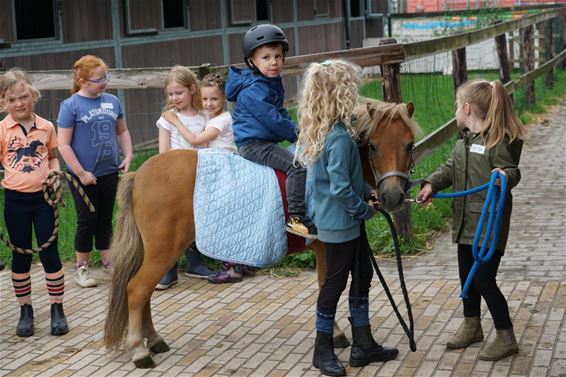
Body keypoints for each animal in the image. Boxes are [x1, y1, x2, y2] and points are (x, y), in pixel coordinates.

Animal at [103, 98, 422, 366]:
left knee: (142, 293)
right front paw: (336, 335)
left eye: (409, 145)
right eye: (374, 146)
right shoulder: (326, 247)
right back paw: (140, 349)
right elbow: (326, 288)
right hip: (163, 250)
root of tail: (139, 174)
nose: (392, 196)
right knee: (137, 290)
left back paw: (154, 340)